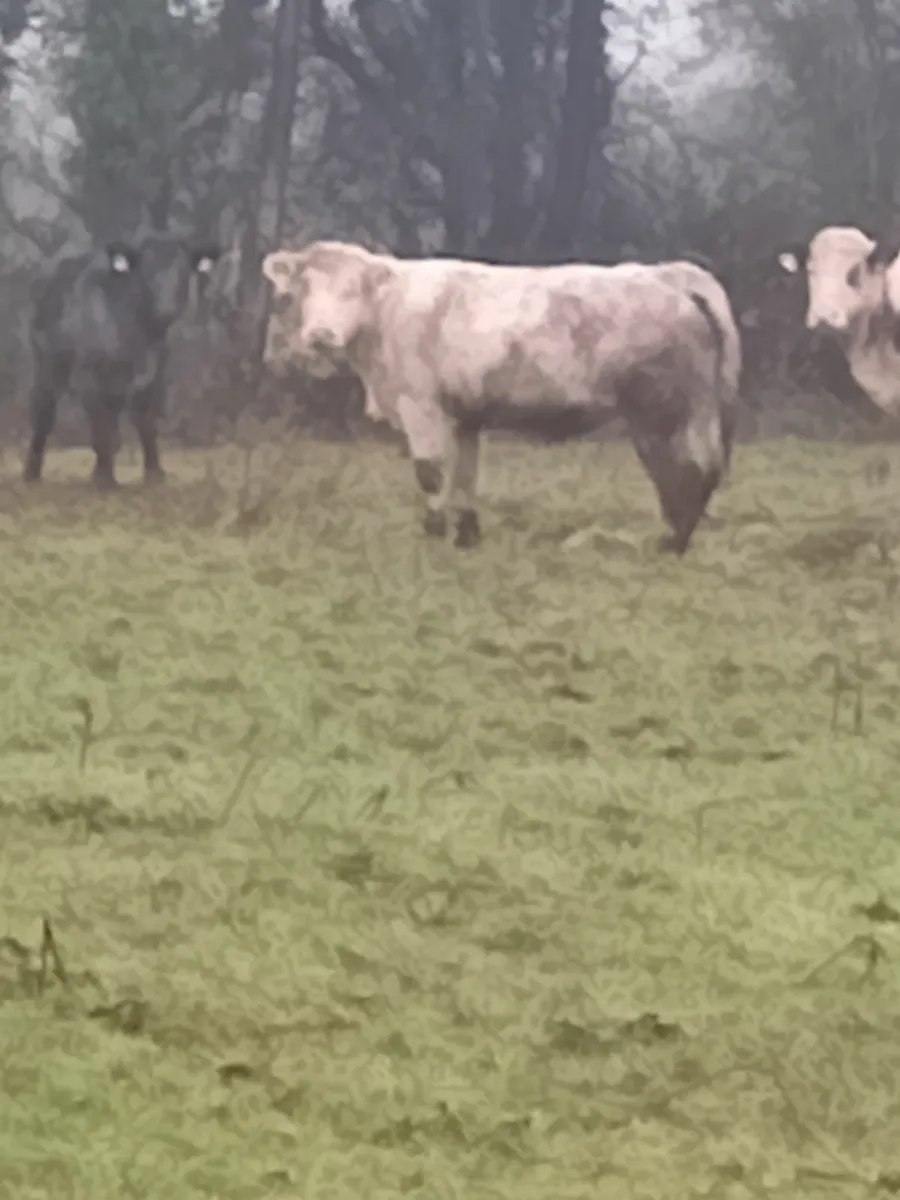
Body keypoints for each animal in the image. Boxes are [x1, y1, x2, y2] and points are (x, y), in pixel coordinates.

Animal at [23, 229, 221, 489]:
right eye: (146, 273)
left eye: (183, 272)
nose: (166, 308)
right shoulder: (88, 378)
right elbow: (101, 426)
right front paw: (104, 478)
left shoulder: (154, 376)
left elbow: (145, 422)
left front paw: (154, 473)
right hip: (46, 364)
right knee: (44, 410)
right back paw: (31, 473)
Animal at [262, 240, 732, 554]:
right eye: (303, 290)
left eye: (354, 289)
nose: (321, 335)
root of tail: (666, 274)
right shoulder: (466, 412)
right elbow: (467, 474)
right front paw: (467, 534)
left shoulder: (421, 405)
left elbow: (431, 473)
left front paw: (433, 532)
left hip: (660, 413)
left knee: (683, 470)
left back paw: (673, 541)